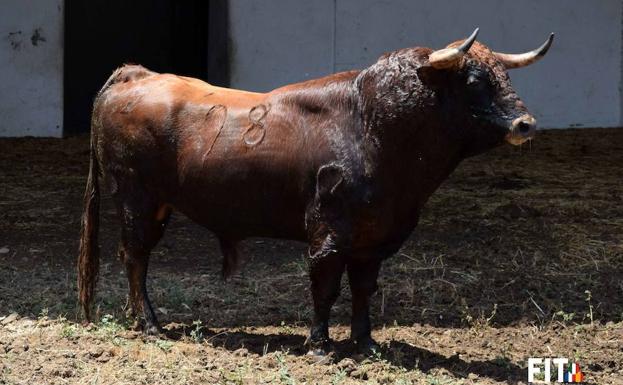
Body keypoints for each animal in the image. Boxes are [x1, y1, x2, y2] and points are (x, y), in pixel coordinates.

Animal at [79, 29, 556, 354]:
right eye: (474, 80)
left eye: (502, 75)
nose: (525, 124)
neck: (373, 127)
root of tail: (135, 74)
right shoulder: (329, 233)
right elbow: (324, 287)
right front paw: (320, 345)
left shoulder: (372, 240)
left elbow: (363, 289)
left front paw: (365, 343)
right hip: (138, 201)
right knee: (135, 256)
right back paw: (149, 323)